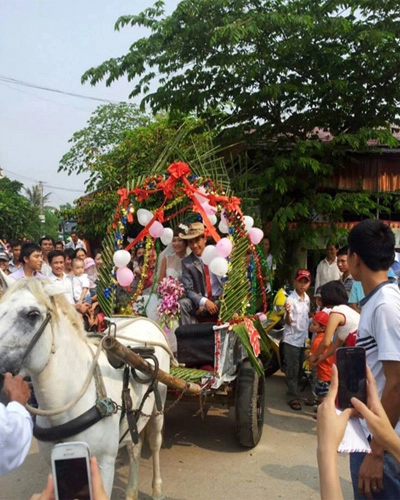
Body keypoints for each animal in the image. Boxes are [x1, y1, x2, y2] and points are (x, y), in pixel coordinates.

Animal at [0, 278, 170, 500]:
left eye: (32, 314)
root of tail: (145, 320)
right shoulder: (55, 465)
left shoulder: (105, 464)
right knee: (135, 447)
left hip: (159, 406)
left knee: (155, 442)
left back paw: (157, 489)